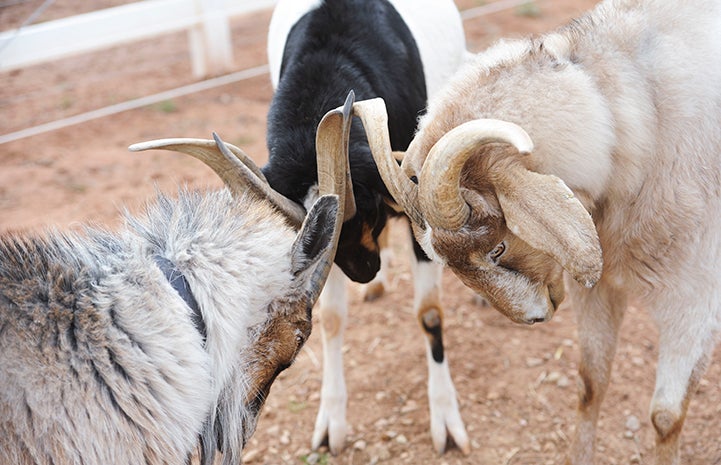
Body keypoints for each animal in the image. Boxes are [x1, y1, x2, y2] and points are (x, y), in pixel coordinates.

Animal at [262, 0, 469, 454]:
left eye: (368, 211)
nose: (364, 271)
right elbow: (331, 319)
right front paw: (331, 424)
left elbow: (429, 312)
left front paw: (446, 421)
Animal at [353, 0, 721, 463]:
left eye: (497, 247)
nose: (534, 318)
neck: (641, 113)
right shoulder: (597, 289)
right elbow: (590, 382)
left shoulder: (693, 302)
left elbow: (666, 418)